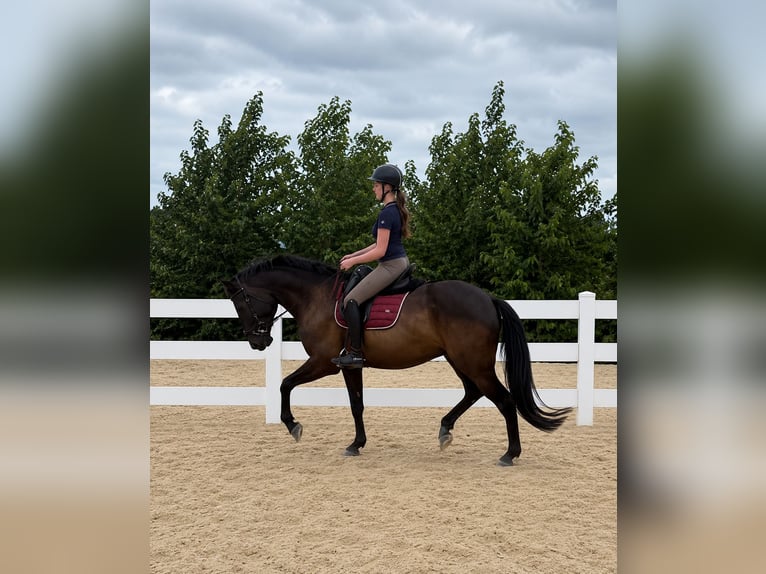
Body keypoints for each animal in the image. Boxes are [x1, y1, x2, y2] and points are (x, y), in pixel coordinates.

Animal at [222, 254, 571, 466]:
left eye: (241, 302)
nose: (258, 342)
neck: (316, 297)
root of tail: (487, 298)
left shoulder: (324, 363)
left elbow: (285, 384)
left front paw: (293, 425)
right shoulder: (349, 364)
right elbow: (357, 404)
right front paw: (356, 444)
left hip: (474, 363)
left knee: (504, 400)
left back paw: (510, 454)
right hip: (459, 360)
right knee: (473, 392)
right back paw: (445, 430)